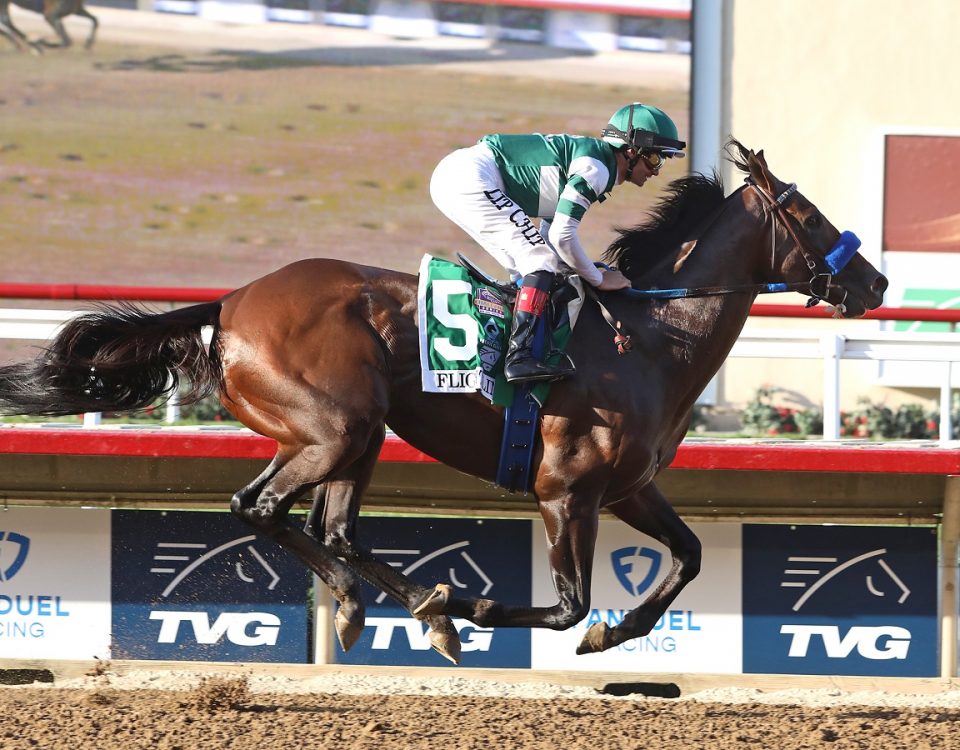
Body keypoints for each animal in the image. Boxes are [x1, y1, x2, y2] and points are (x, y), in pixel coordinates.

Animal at [0, 142, 884, 664]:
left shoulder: (628, 489)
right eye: (807, 215)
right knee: (260, 508)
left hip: (355, 438)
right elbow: (567, 606)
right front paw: (478, 598)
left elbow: (688, 557)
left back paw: (400, 609)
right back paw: (412, 606)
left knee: (330, 526)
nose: (874, 282)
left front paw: (618, 631)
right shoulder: (566, 493)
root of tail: (233, 300)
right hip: (334, 428)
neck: (650, 336)